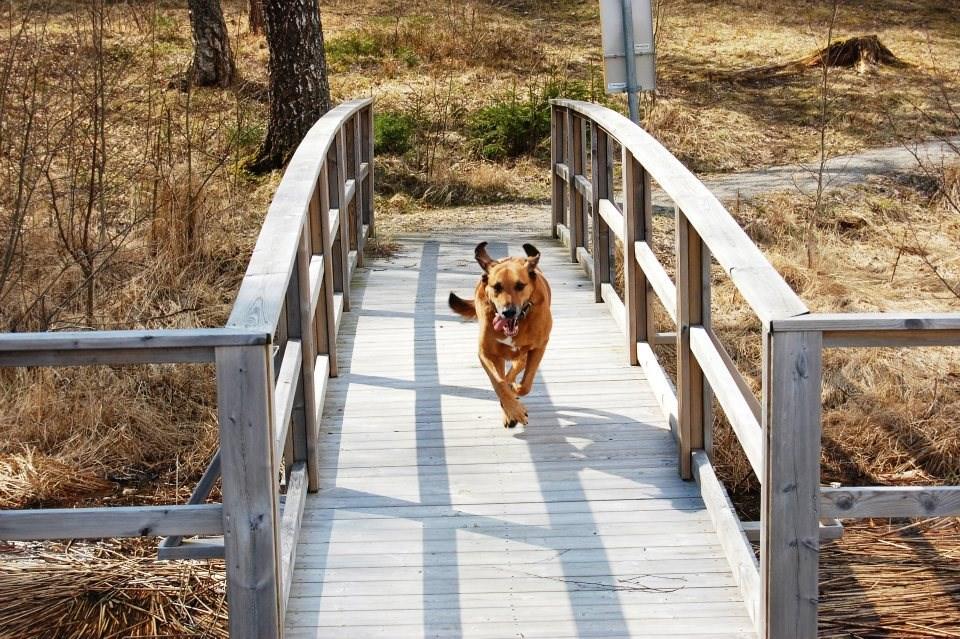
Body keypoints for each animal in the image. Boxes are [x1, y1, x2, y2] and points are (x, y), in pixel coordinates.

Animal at [448, 242, 552, 428]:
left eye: (520, 286)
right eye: (496, 287)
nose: (508, 312)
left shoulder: (539, 346)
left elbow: (526, 383)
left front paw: (516, 390)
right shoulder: (486, 353)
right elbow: (499, 383)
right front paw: (514, 411)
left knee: (518, 367)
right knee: (505, 376)